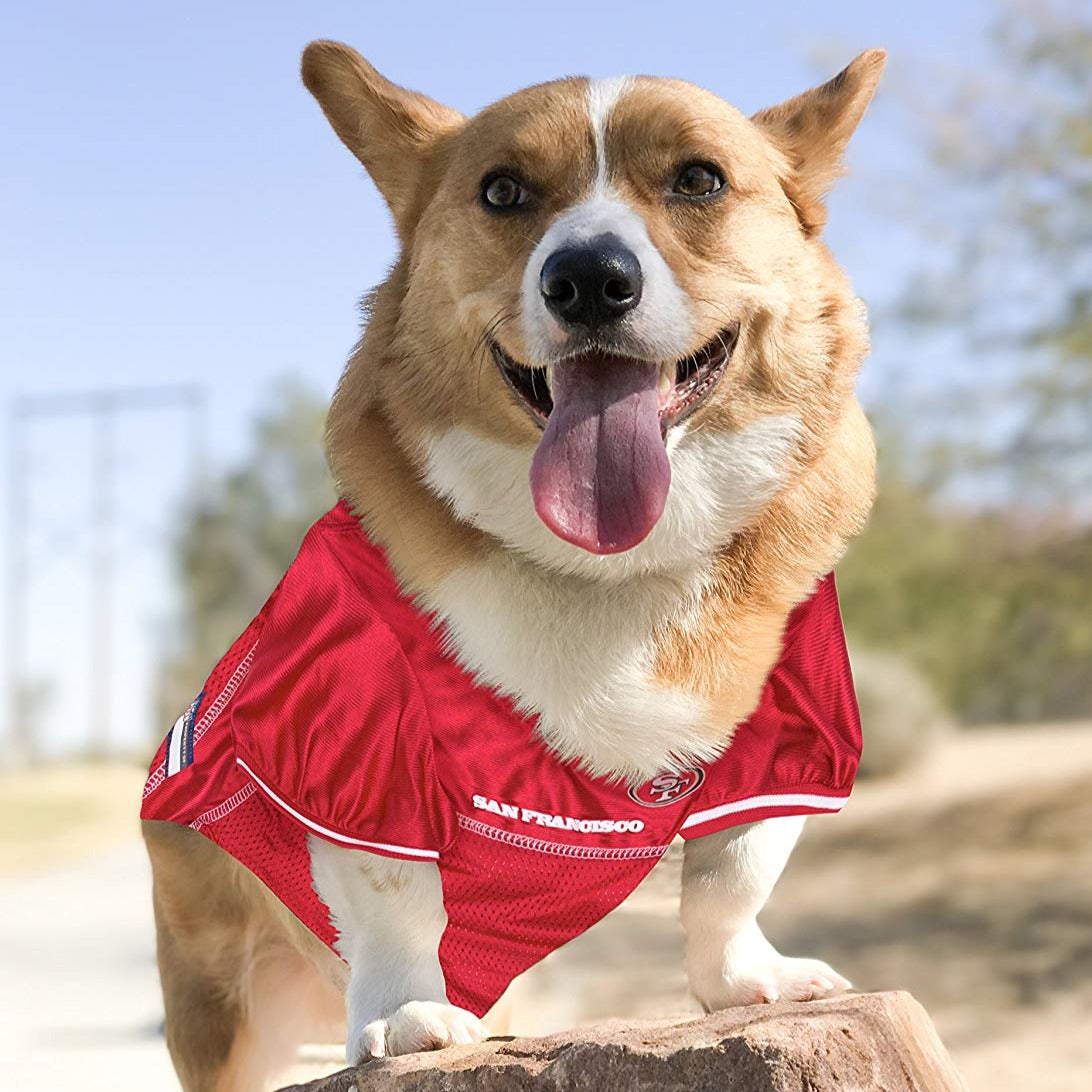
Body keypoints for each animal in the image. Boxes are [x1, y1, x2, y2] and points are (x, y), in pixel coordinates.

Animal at [140, 40, 882, 1092]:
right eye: (502, 192)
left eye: (699, 179)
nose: (589, 279)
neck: (610, 566)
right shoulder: (352, 744)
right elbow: (393, 895)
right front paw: (407, 1012)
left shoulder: (790, 732)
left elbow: (732, 874)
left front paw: (748, 981)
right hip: (222, 993)